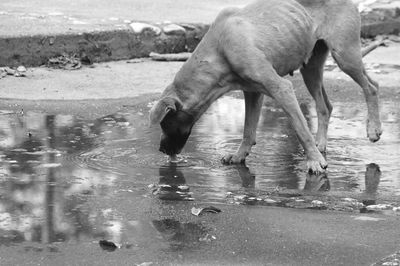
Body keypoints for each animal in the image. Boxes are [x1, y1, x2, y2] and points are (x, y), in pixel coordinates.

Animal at [148, 0, 382, 174]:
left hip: (345, 56)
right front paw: (239, 155)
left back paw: (373, 129)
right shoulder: (252, 92)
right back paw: (321, 144)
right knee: (326, 106)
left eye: (164, 124)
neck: (219, 49)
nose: (161, 150)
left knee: (372, 87)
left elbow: (300, 129)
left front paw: (314, 161)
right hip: (311, 68)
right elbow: (248, 131)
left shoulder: (281, 88)